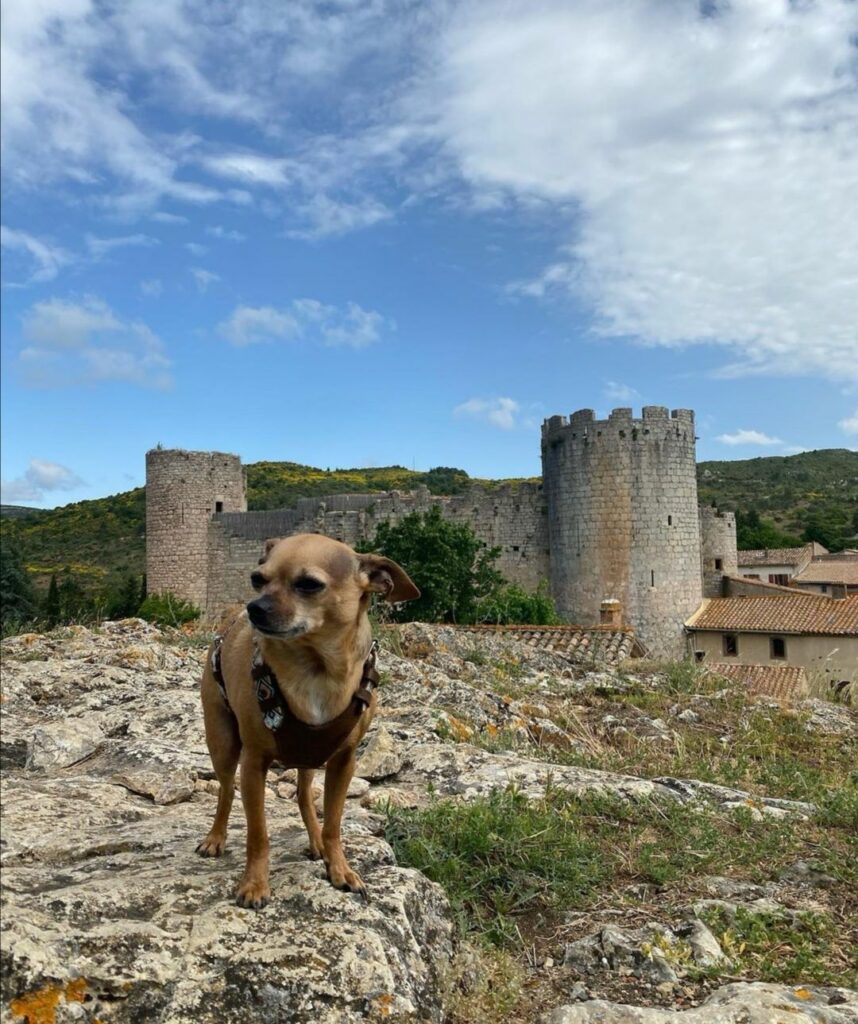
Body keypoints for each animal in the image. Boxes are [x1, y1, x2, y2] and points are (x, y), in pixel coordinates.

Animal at [198, 532, 419, 909]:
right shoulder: (253, 764)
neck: (315, 668)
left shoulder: (343, 763)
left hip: (310, 757)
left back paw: (315, 842)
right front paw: (254, 884)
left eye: (309, 584)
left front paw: (339, 867)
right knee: (226, 791)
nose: (254, 607)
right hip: (223, 746)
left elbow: (333, 823)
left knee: (303, 795)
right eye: (257, 579)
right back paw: (216, 837)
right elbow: (258, 833)